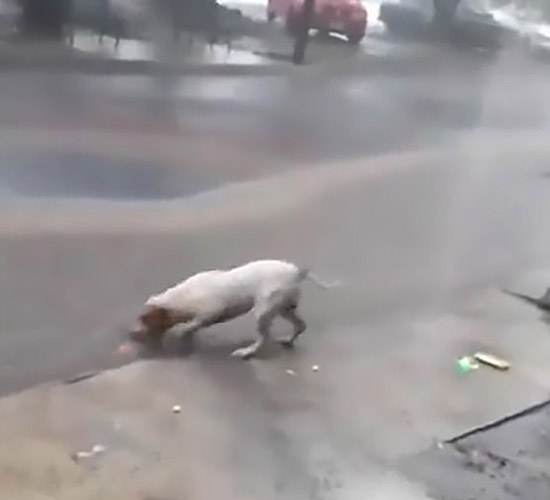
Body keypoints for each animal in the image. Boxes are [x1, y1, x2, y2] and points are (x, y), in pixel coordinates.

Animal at [130, 260, 340, 358]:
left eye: (144, 321)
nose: (131, 334)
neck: (180, 298)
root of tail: (296, 272)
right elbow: (193, 327)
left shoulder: (209, 312)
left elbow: (191, 325)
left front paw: (184, 333)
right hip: (285, 308)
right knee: (300, 325)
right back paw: (289, 340)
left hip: (263, 311)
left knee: (264, 337)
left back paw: (247, 352)